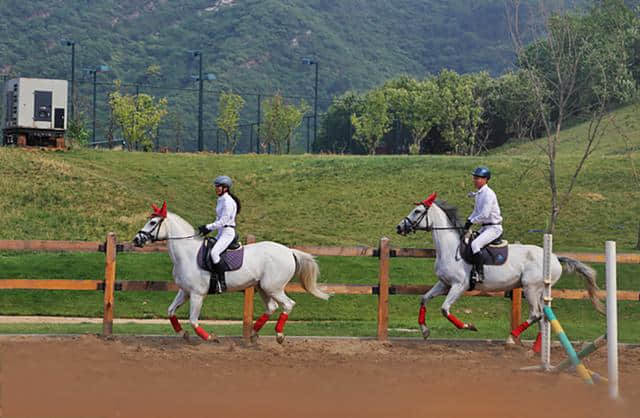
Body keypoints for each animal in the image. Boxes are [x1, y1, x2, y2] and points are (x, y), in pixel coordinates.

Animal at [131, 202, 330, 342]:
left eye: (153, 222)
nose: (136, 240)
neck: (187, 253)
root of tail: (289, 251)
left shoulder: (197, 294)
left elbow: (193, 320)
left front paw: (210, 337)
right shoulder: (185, 292)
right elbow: (171, 311)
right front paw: (183, 334)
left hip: (272, 287)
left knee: (288, 305)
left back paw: (279, 335)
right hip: (262, 288)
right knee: (272, 307)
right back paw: (253, 332)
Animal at [392, 194, 604, 352]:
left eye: (417, 211)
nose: (399, 227)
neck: (450, 247)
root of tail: (554, 257)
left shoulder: (459, 286)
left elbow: (445, 309)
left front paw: (469, 326)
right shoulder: (444, 284)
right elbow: (424, 299)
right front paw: (425, 331)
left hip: (530, 288)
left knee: (536, 314)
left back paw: (512, 338)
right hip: (539, 290)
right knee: (543, 316)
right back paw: (535, 349)